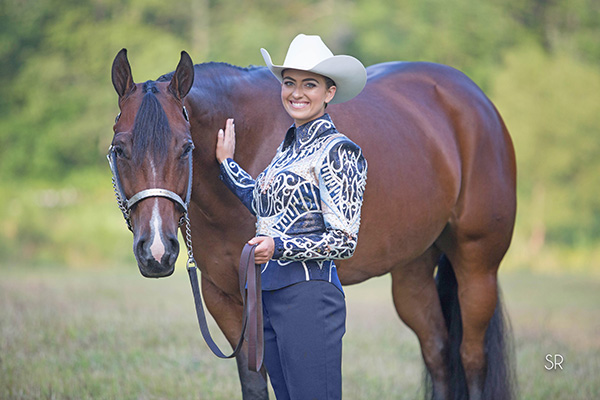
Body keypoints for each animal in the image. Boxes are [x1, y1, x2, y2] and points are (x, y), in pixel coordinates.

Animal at [109, 47, 516, 400]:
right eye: (119, 149)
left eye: (186, 148)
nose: (156, 251)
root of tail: (476, 101)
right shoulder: (223, 298)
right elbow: (254, 382)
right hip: (412, 272)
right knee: (438, 352)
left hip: (477, 266)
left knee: (471, 357)